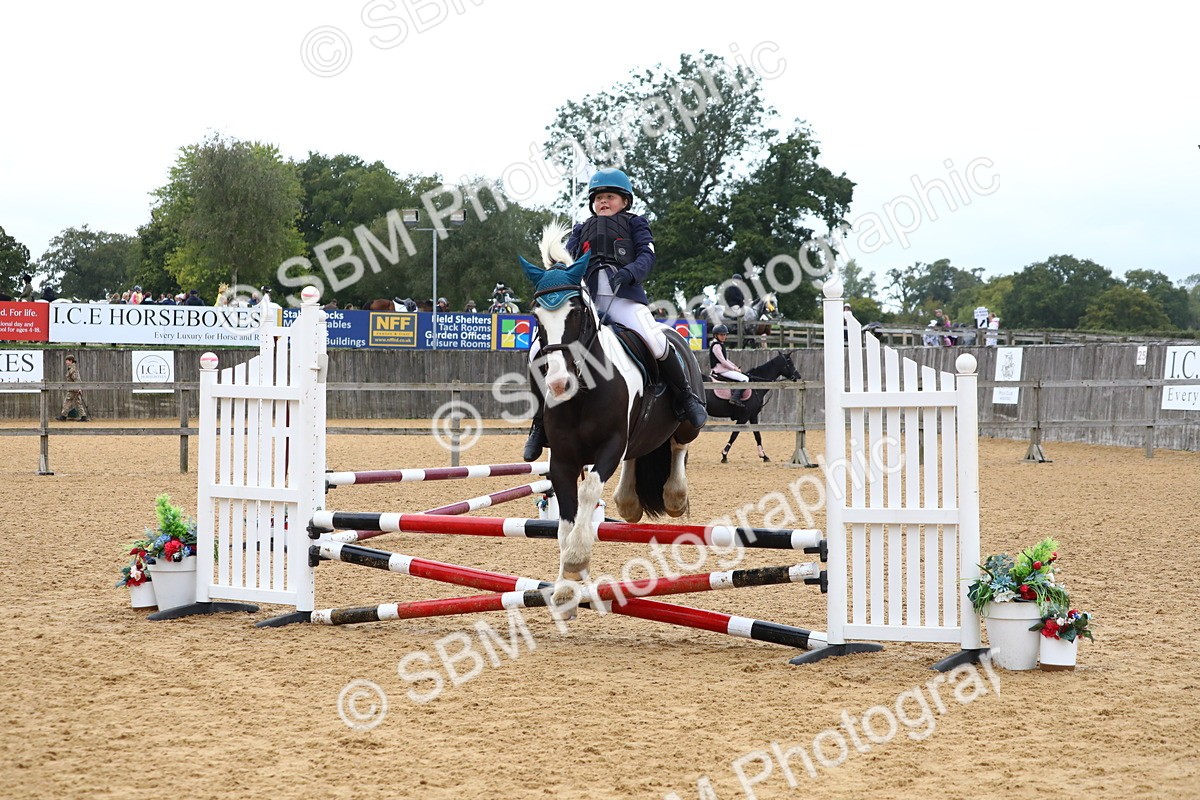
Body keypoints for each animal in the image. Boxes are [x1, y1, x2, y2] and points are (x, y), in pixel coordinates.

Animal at [518, 222, 705, 607]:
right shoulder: (562, 458)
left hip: (684, 420)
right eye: (536, 317)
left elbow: (589, 490)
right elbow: (566, 514)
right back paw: (629, 502)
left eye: (576, 312)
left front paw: (576, 559)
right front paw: (566, 583)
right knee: (638, 453)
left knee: (678, 445)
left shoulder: (609, 446)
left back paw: (675, 495)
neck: (583, 391)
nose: (557, 384)